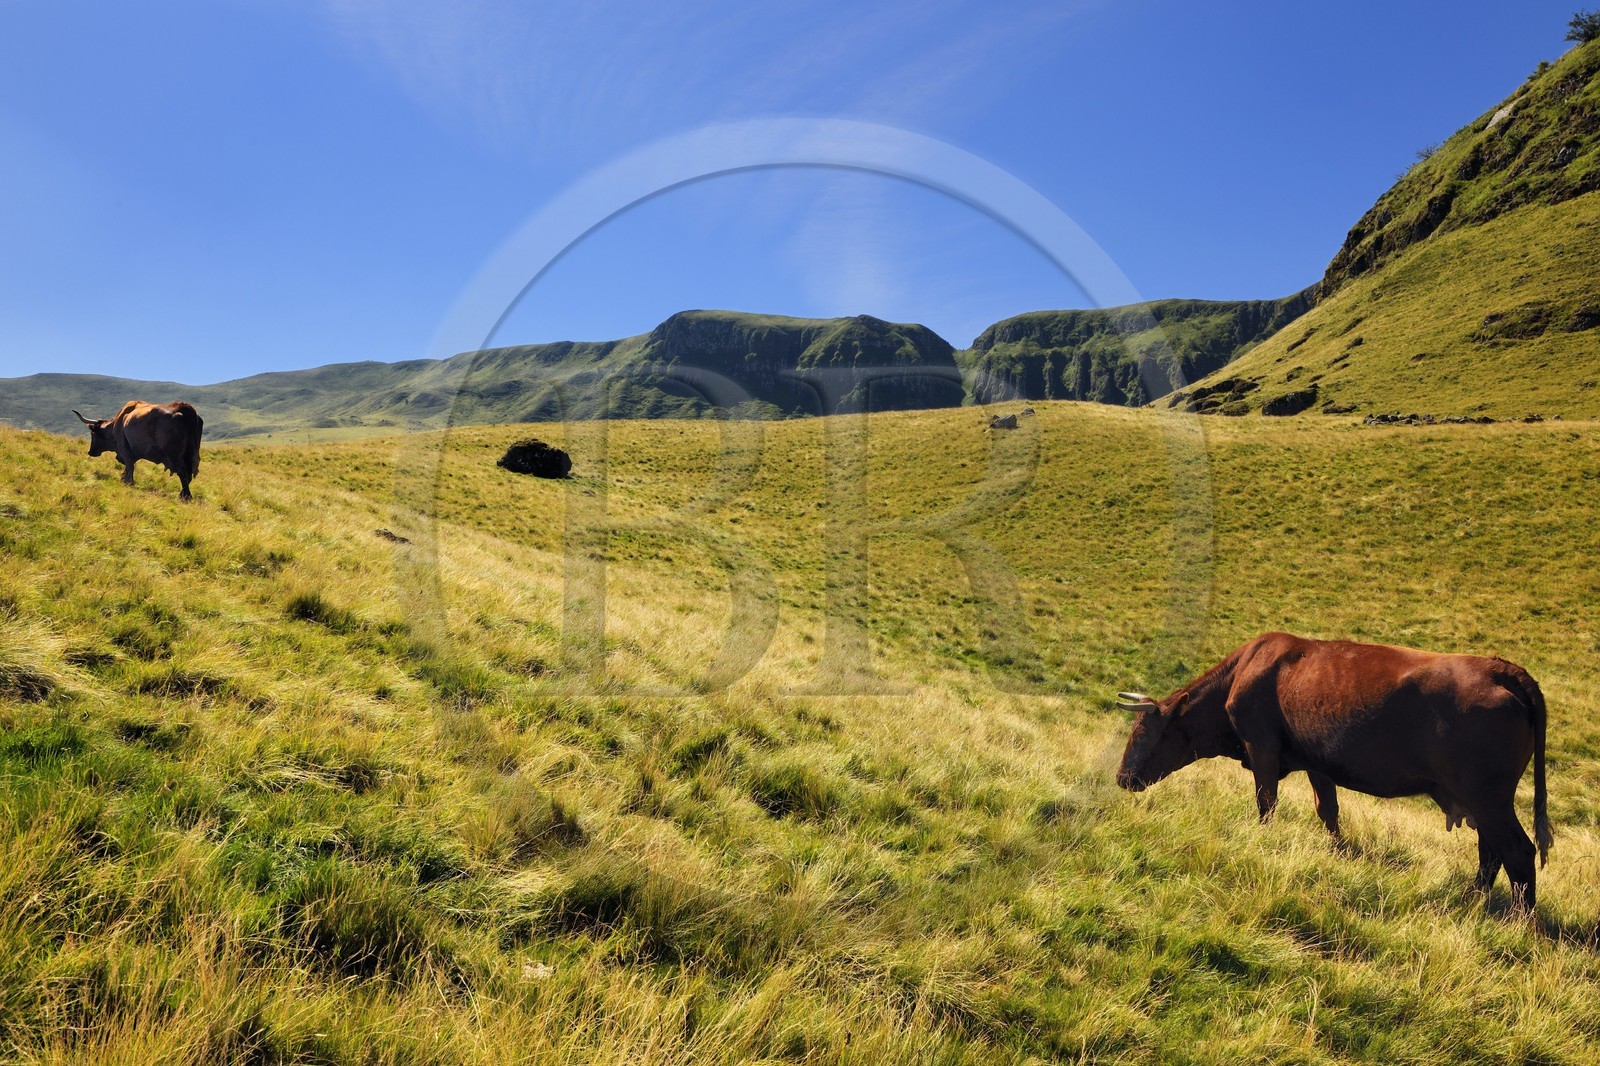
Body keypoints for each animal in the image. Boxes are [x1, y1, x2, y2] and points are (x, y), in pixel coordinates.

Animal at [73, 401, 203, 501]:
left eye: (92, 433)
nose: (90, 452)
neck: (119, 421)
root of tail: (186, 409)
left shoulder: (125, 450)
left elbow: (130, 466)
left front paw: (128, 482)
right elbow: (128, 467)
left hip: (174, 455)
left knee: (183, 472)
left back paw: (185, 496)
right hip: (190, 454)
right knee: (188, 474)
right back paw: (184, 494)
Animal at [1115, 632, 1552, 910]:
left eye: (1142, 731)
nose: (1122, 778)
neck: (1243, 671)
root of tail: (1502, 669)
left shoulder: (1262, 748)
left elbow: (1266, 802)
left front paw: (1264, 840)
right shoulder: (1318, 762)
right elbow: (1328, 811)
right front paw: (1339, 853)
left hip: (1489, 798)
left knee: (1517, 851)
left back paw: (1520, 924)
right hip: (1478, 801)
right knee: (1490, 852)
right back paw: (1473, 899)